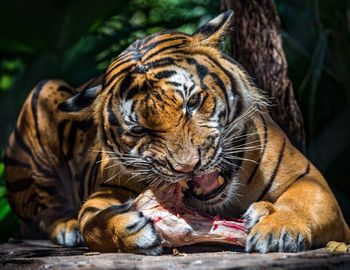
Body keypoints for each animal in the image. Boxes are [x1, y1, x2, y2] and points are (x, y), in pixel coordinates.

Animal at [3, 10, 350, 254]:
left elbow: (301, 203)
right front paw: (126, 229)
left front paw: (277, 229)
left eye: (193, 102)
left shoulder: (311, 180)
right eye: (139, 129)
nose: (188, 167)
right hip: (43, 95)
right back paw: (67, 226)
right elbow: (91, 222)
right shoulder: (103, 192)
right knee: (39, 213)